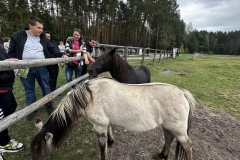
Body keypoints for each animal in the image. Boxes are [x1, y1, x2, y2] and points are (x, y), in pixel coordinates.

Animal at [30, 77, 195, 159]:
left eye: (39, 148)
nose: (34, 159)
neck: (88, 97)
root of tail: (182, 92)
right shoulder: (105, 123)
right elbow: (109, 133)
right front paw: (111, 141)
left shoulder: (99, 126)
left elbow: (102, 147)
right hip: (168, 126)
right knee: (168, 138)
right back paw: (162, 155)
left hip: (178, 130)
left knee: (187, 145)